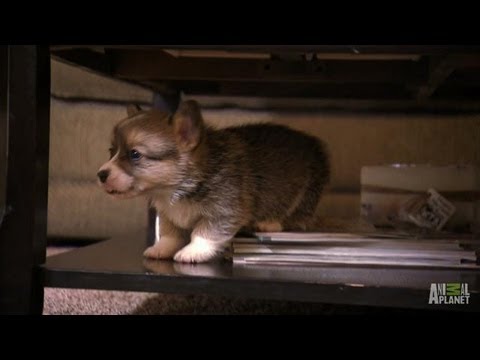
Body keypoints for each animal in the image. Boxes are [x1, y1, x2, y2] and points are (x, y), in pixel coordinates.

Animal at [97, 100, 330, 262]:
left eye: (135, 154)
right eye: (111, 151)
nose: (101, 175)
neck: (175, 188)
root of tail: (313, 143)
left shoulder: (224, 212)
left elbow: (204, 234)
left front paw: (192, 251)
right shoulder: (168, 216)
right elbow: (170, 235)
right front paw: (160, 249)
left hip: (306, 193)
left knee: (298, 216)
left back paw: (270, 223)